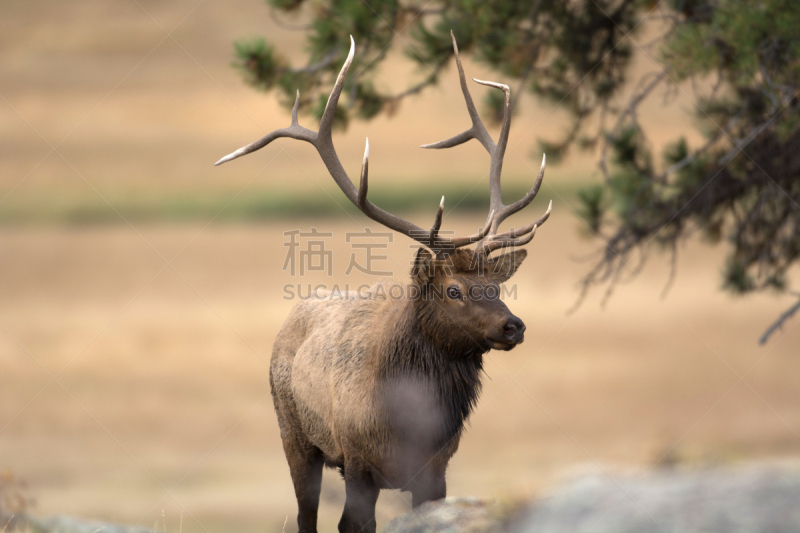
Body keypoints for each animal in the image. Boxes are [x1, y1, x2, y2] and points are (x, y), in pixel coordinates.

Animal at [216, 32, 552, 532]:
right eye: (453, 289)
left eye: (497, 286)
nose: (514, 326)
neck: (406, 427)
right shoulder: (357, 461)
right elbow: (352, 524)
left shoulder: (437, 469)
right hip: (294, 433)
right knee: (306, 515)